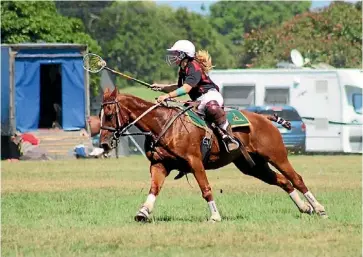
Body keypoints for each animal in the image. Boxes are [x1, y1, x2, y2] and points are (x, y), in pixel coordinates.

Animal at [99, 87, 330, 221]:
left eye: (109, 114)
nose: (103, 144)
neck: (162, 124)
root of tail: (265, 117)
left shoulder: (195, 162)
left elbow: (206, 189)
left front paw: (215, 216)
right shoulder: (159, 164)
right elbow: (154, 188)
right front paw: (143, 212)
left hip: (277, 155)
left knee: (296, 178)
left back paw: (319, 208)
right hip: (252, 166)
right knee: (283, 181)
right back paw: (305, 208)